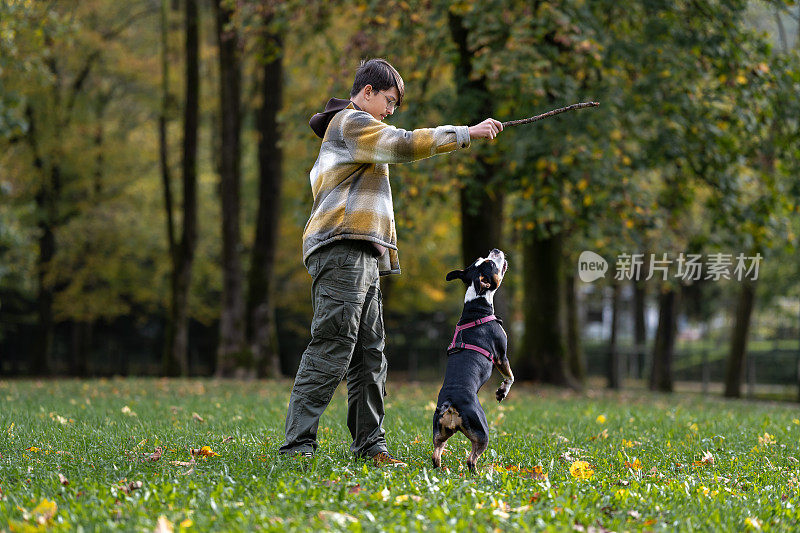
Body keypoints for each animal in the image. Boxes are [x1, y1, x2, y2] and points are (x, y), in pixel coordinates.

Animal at [432, 247, 512, 472]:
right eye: (491, 264)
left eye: (482, 259)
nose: (495, 250)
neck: (477, 303)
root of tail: (450, 403)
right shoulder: (501, 356)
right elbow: (510, 376)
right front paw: (502, 392)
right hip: (482, 431)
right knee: (471, 458)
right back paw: (478, 473)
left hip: (440, 433)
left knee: (436, 454)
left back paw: (440, 469)